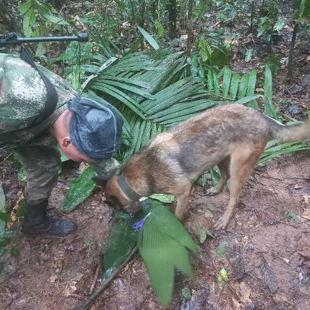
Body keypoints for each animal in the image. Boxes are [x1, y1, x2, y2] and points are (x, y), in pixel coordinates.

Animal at [93, 105, 310, 229]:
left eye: (118, 209)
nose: (131, 216)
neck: (132, 178)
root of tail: (263, 118)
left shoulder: (183, 191)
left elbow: (178, 214)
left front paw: (177, 224)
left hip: (238, 168)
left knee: (234, 197)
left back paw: (224, 220)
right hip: (220, 157)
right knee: (223, 176)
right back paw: (215, 189)